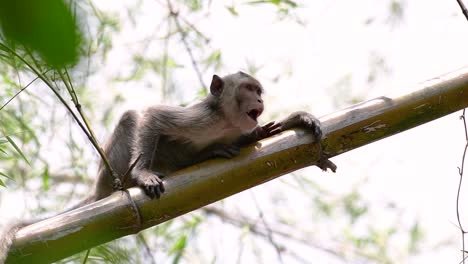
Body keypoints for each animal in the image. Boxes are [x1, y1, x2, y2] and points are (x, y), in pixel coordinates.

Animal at [0, 70, 336, 262]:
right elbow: (151, 116)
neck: (225, 122)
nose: (260, 100)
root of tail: (100, 189)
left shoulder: (239, 129)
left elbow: (261, 134)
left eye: (258, 91)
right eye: (249, 89)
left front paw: (299, 119)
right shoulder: (200, 118)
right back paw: (134, 180)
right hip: (112, 171)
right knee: (131, 118)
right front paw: (143, 175)